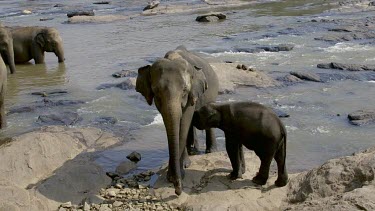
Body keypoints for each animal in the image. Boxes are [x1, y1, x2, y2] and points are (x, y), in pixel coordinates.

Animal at [137, 45, 220, 195]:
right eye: (156, 91)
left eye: (184, 90)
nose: (177, 190)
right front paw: (175, 175)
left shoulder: (193, 92)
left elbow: (184, 120)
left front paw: (178, 174)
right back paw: (193, 152)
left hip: (212, 92)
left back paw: (211, 152)